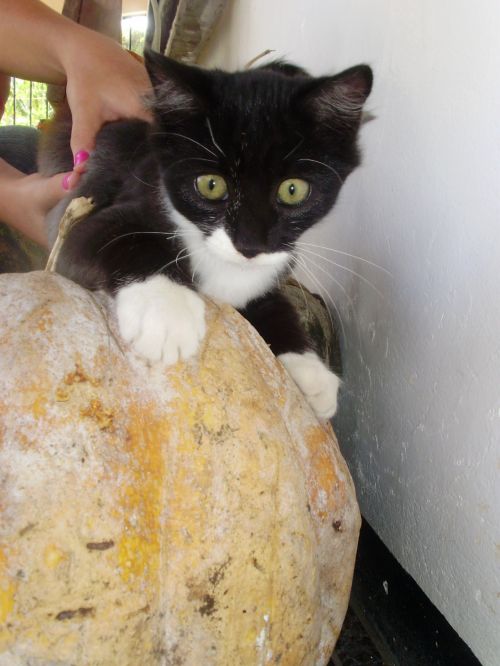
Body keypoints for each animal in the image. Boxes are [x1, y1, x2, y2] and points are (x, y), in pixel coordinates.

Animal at [39, 50, 372, 420]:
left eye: (293, 190)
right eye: (211, 185)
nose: (249, 245)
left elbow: (274, 303)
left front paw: (309, 372)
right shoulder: (80, 220)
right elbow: (125, 237)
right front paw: (166, 310)